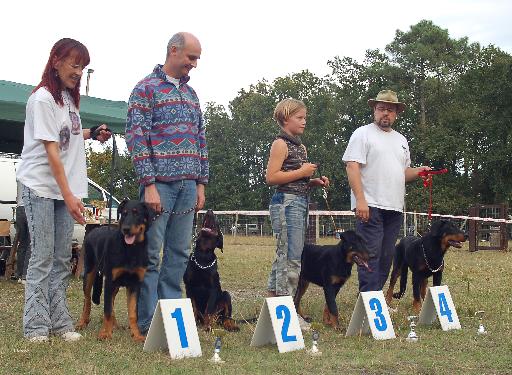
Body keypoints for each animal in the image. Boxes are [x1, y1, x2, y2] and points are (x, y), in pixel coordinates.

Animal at [76, 201, 155, 342]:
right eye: (124, 214)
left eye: (137, 214)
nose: (126, 229)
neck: (131, 249)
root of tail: (94, 230)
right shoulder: (110, 281)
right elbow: (107, 310)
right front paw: (105, 334)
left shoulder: (135, 284)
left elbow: (133, 313)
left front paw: (137, 335)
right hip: (90, 273)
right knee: (87, 299)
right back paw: (83, 322)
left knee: (111, 302)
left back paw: (114, 325)